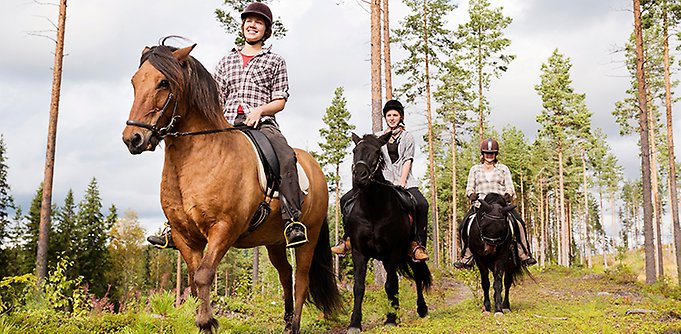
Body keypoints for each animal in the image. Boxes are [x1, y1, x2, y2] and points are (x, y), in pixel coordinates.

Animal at [122, 42, 340, 334]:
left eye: (163, 83)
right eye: (135, 81)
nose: (133, 139)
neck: (196, 159)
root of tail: (316, 168)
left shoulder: (224, 228)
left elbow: (204, 275)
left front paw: (207, 321)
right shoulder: (184, 236)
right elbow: (194, 281)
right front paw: (204, 323)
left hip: (309, 236)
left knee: (301, 280)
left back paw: (293, 325)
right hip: (274, 242)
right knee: (285, 275)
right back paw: (285, 322)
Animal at [342, 132, 432, 332]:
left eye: (377, 151)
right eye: (355, 150)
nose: (359, 176)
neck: (372, 210)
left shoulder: (394, 251)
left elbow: (390, 285)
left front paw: (391, 319)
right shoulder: (359, 252)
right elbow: (359, 287)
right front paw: (355, 323)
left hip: (410, 253)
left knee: (417, 276)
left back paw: (421, 309)